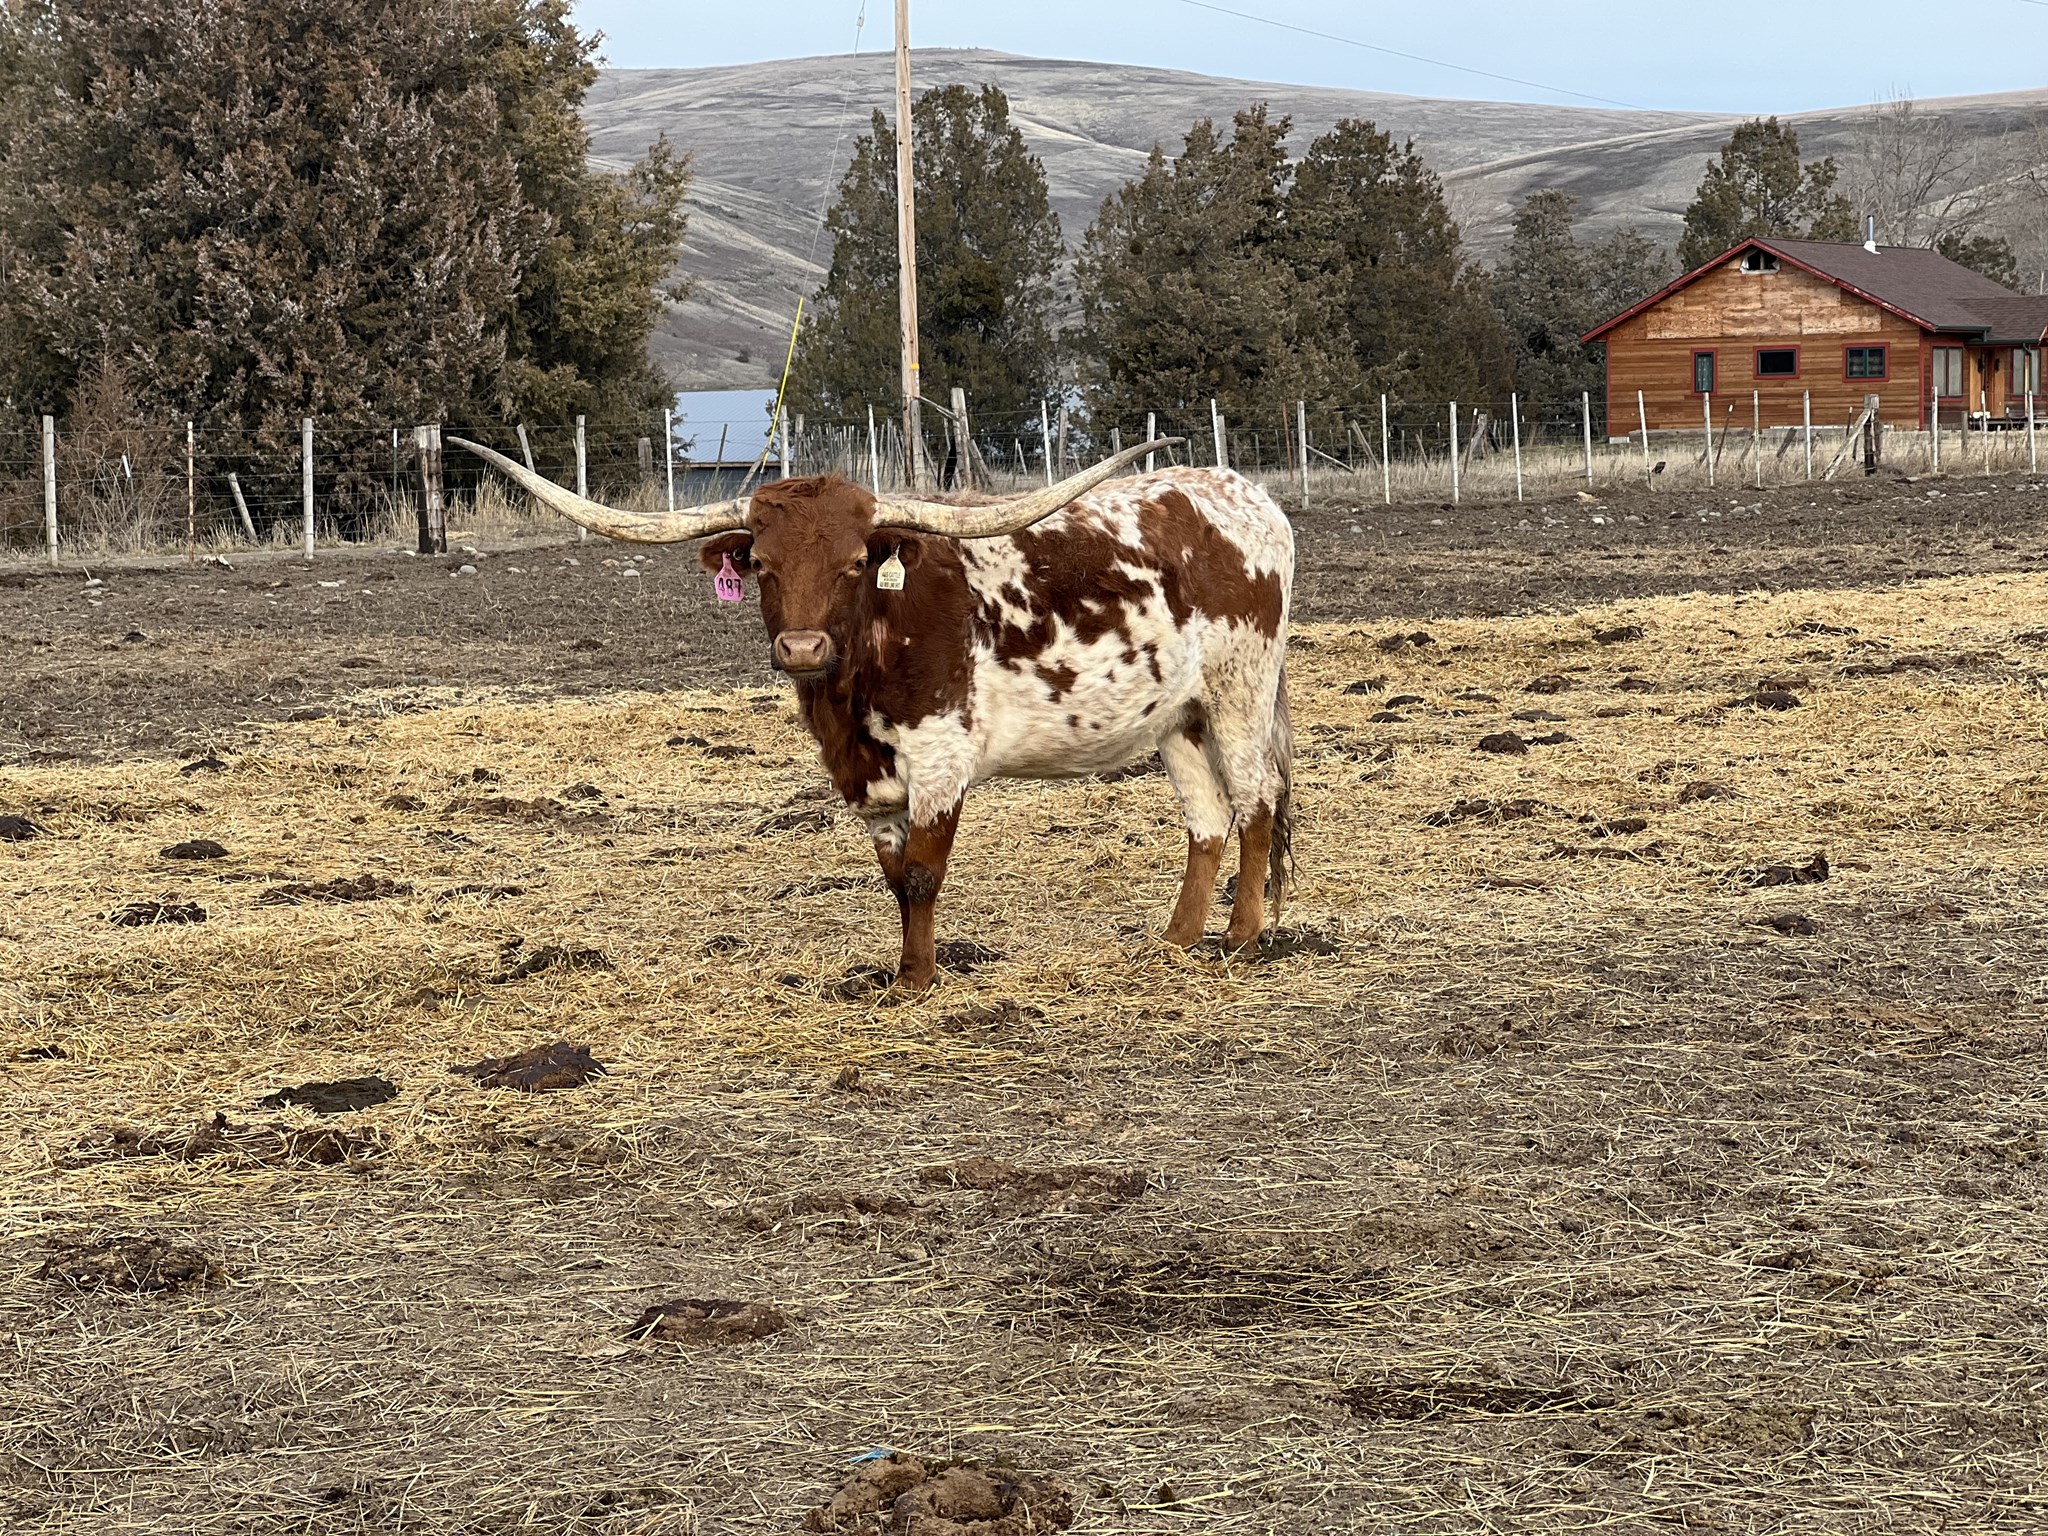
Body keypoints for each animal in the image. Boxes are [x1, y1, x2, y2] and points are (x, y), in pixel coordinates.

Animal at [453, 436, 1294, 993]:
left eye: (856, 562)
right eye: (762, 564)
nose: (800, 646)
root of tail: (1241, 493)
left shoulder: (941, 761)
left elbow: (923, 874)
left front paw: (918, 980)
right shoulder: (865, 780)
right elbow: (893, 879)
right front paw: (900, 970)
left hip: (1240, 691)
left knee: (1256, 802)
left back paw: (1242, 936)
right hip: (1176, 717)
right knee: (1208, 818)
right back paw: (1175, 940)